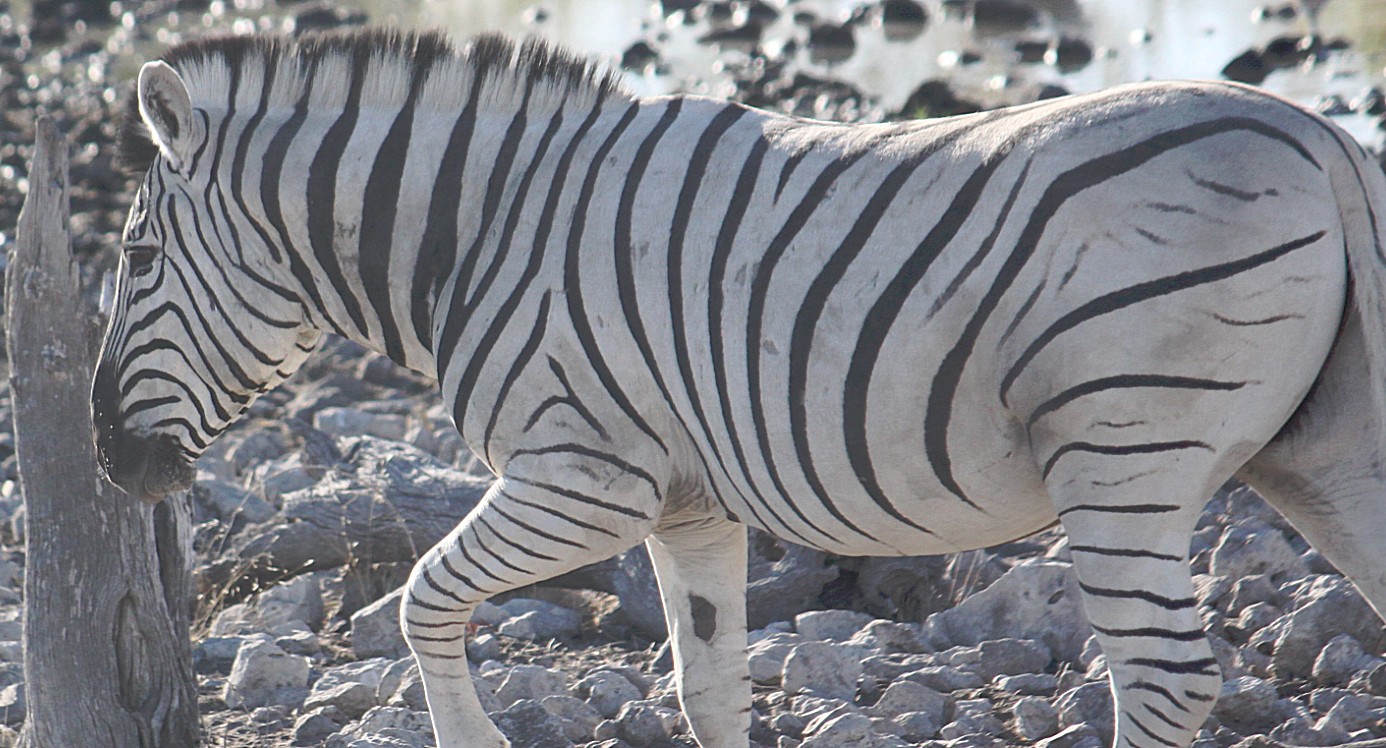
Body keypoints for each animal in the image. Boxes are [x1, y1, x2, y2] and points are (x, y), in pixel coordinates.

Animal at [89, 27, 1386, 748]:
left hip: (1124, 454)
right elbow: (706, 684)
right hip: (1323, 454)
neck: (484, 230)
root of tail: (1318, 136)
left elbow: (420, 600)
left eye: (139, 257)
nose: (109, 461)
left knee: (1162, 681)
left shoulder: (583, 478)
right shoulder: (687, 502)